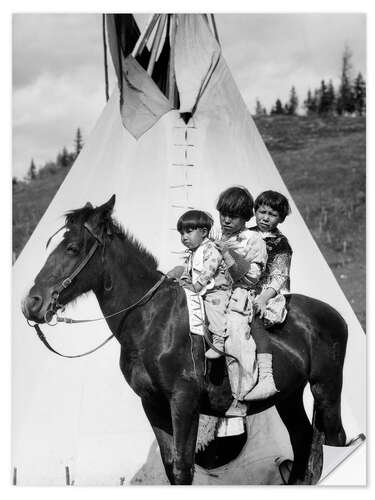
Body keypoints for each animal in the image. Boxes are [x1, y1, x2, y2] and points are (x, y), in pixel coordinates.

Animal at [21, 195, 350, 484]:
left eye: (73, 248)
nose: (32, 303)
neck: (152, 319)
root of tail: (335, 315)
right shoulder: (153, 404)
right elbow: (171, 468)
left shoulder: (184, 401)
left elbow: (183, 468)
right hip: (289, 396)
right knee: (302, 440)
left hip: (327, 389)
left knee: (334, 440)